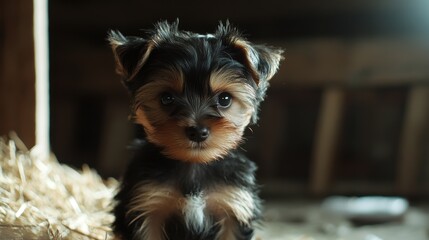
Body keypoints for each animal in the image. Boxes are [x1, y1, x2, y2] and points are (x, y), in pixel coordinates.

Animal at [108, 21, 280, 240]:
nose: (197, 132)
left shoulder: (233, 204)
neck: (194, 164)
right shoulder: (147, 203)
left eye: (224, 99)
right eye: (167, 98)